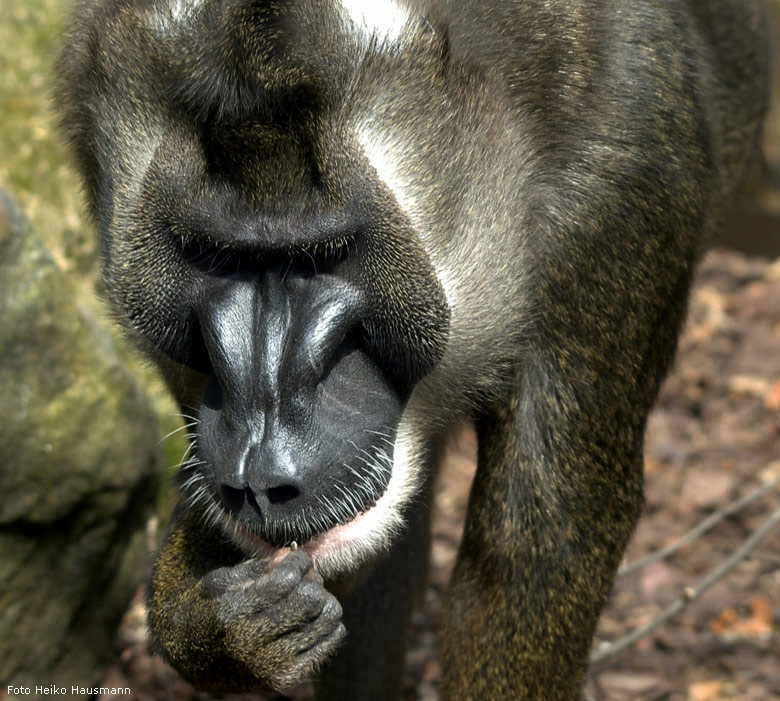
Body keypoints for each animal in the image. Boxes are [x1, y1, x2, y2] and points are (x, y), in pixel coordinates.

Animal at [56, 0, 772, 696]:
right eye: (211, 255)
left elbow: (538, 546)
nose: (264, 461)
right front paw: (224, 625)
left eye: (328, 255)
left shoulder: (616, 190)